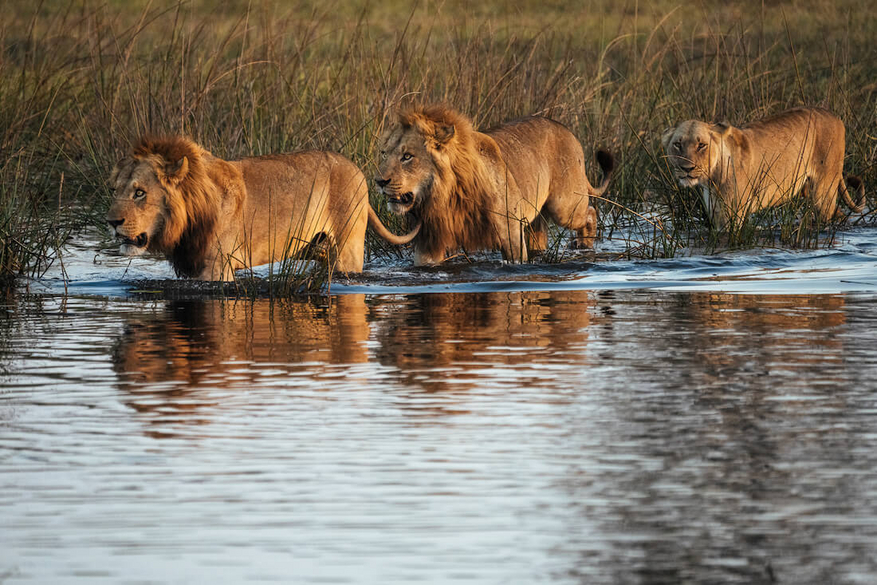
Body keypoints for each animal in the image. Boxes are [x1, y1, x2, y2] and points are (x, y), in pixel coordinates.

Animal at [106, 137, 420, 282]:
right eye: (114, 190)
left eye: (139, 193)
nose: (111, 222)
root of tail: (356, 169)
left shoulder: (217, 269)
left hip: (348, 249)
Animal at [372, 104, 612, 264]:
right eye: (384, 153)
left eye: (407, 157)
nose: (379, 181)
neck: (445, 196)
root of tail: (568, 131)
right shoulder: (428, 243)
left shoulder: (511, 234)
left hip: (564, 207)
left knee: (591, 212)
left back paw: (584, 246)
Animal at [664, 106, 864, 229]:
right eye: (677, 145)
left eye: (701, 145)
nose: (687, 168)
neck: (712, 178)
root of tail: (836, 117)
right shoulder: (717, 214)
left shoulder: (732, 217)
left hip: (824, 191)